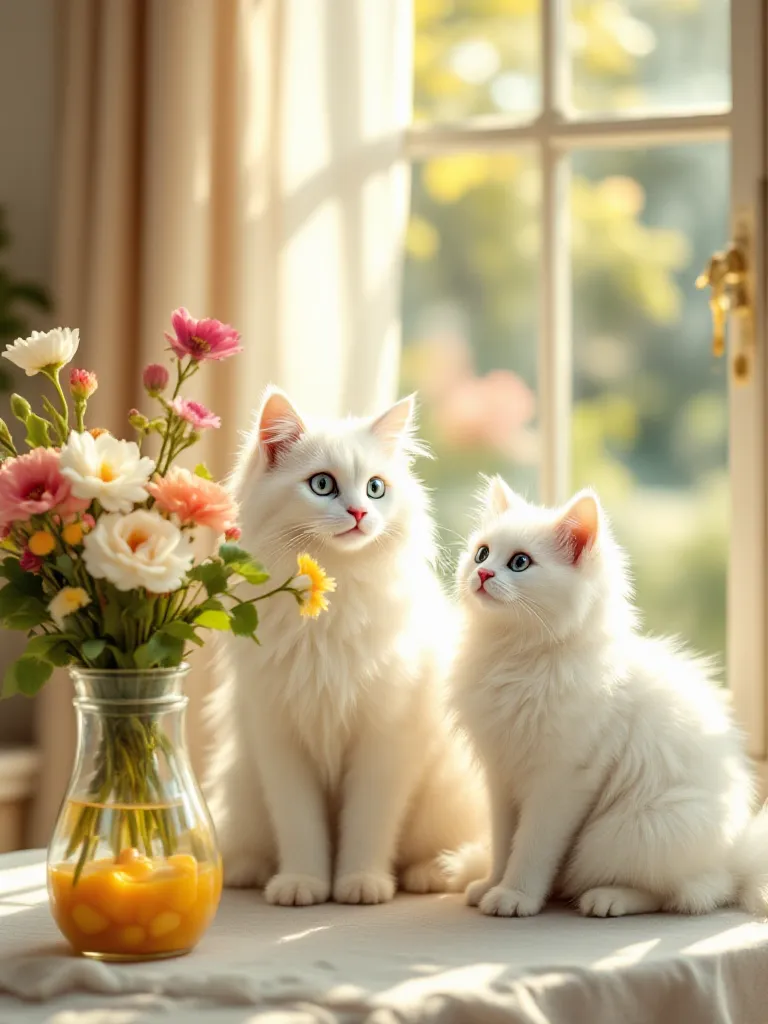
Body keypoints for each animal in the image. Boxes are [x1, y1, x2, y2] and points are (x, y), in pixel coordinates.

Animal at [204, 389, 487, 905]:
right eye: (322, 485)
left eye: (375, 488)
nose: (359, 513)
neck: (330, 600)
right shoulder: (279, 737)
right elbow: (300, 826)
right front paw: (304, 884)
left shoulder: (385, 736)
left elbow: (368, 825)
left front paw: (360, 883)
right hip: (240, 786)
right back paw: (249, 871)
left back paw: (428, 873)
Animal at [448, 477, 768, 921]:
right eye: (482, 552)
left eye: (520, 563)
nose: (482, 572)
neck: (516, 656)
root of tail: (735, 853)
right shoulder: (501, 774)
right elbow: (502, 842)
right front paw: (490, 884)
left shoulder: (563, 778)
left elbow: (531, 848)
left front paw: (515, 896)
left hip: (633, 830)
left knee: (687, 891)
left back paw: (606, 898)